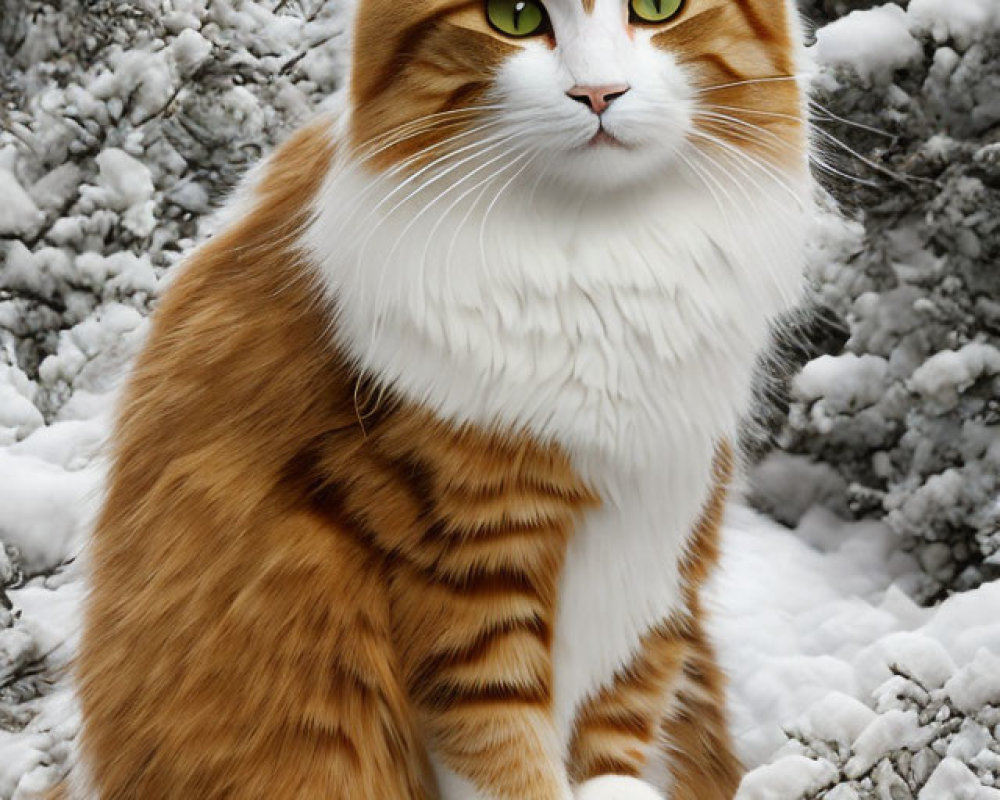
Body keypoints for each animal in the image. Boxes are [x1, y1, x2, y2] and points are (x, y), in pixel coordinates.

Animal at [70, 0, 812, 796]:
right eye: (515, 17)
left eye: (656, 10)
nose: (598, 93)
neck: (604, 260)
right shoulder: (465, 561)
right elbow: (505, 755)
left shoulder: (660, 557)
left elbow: (618, 741)